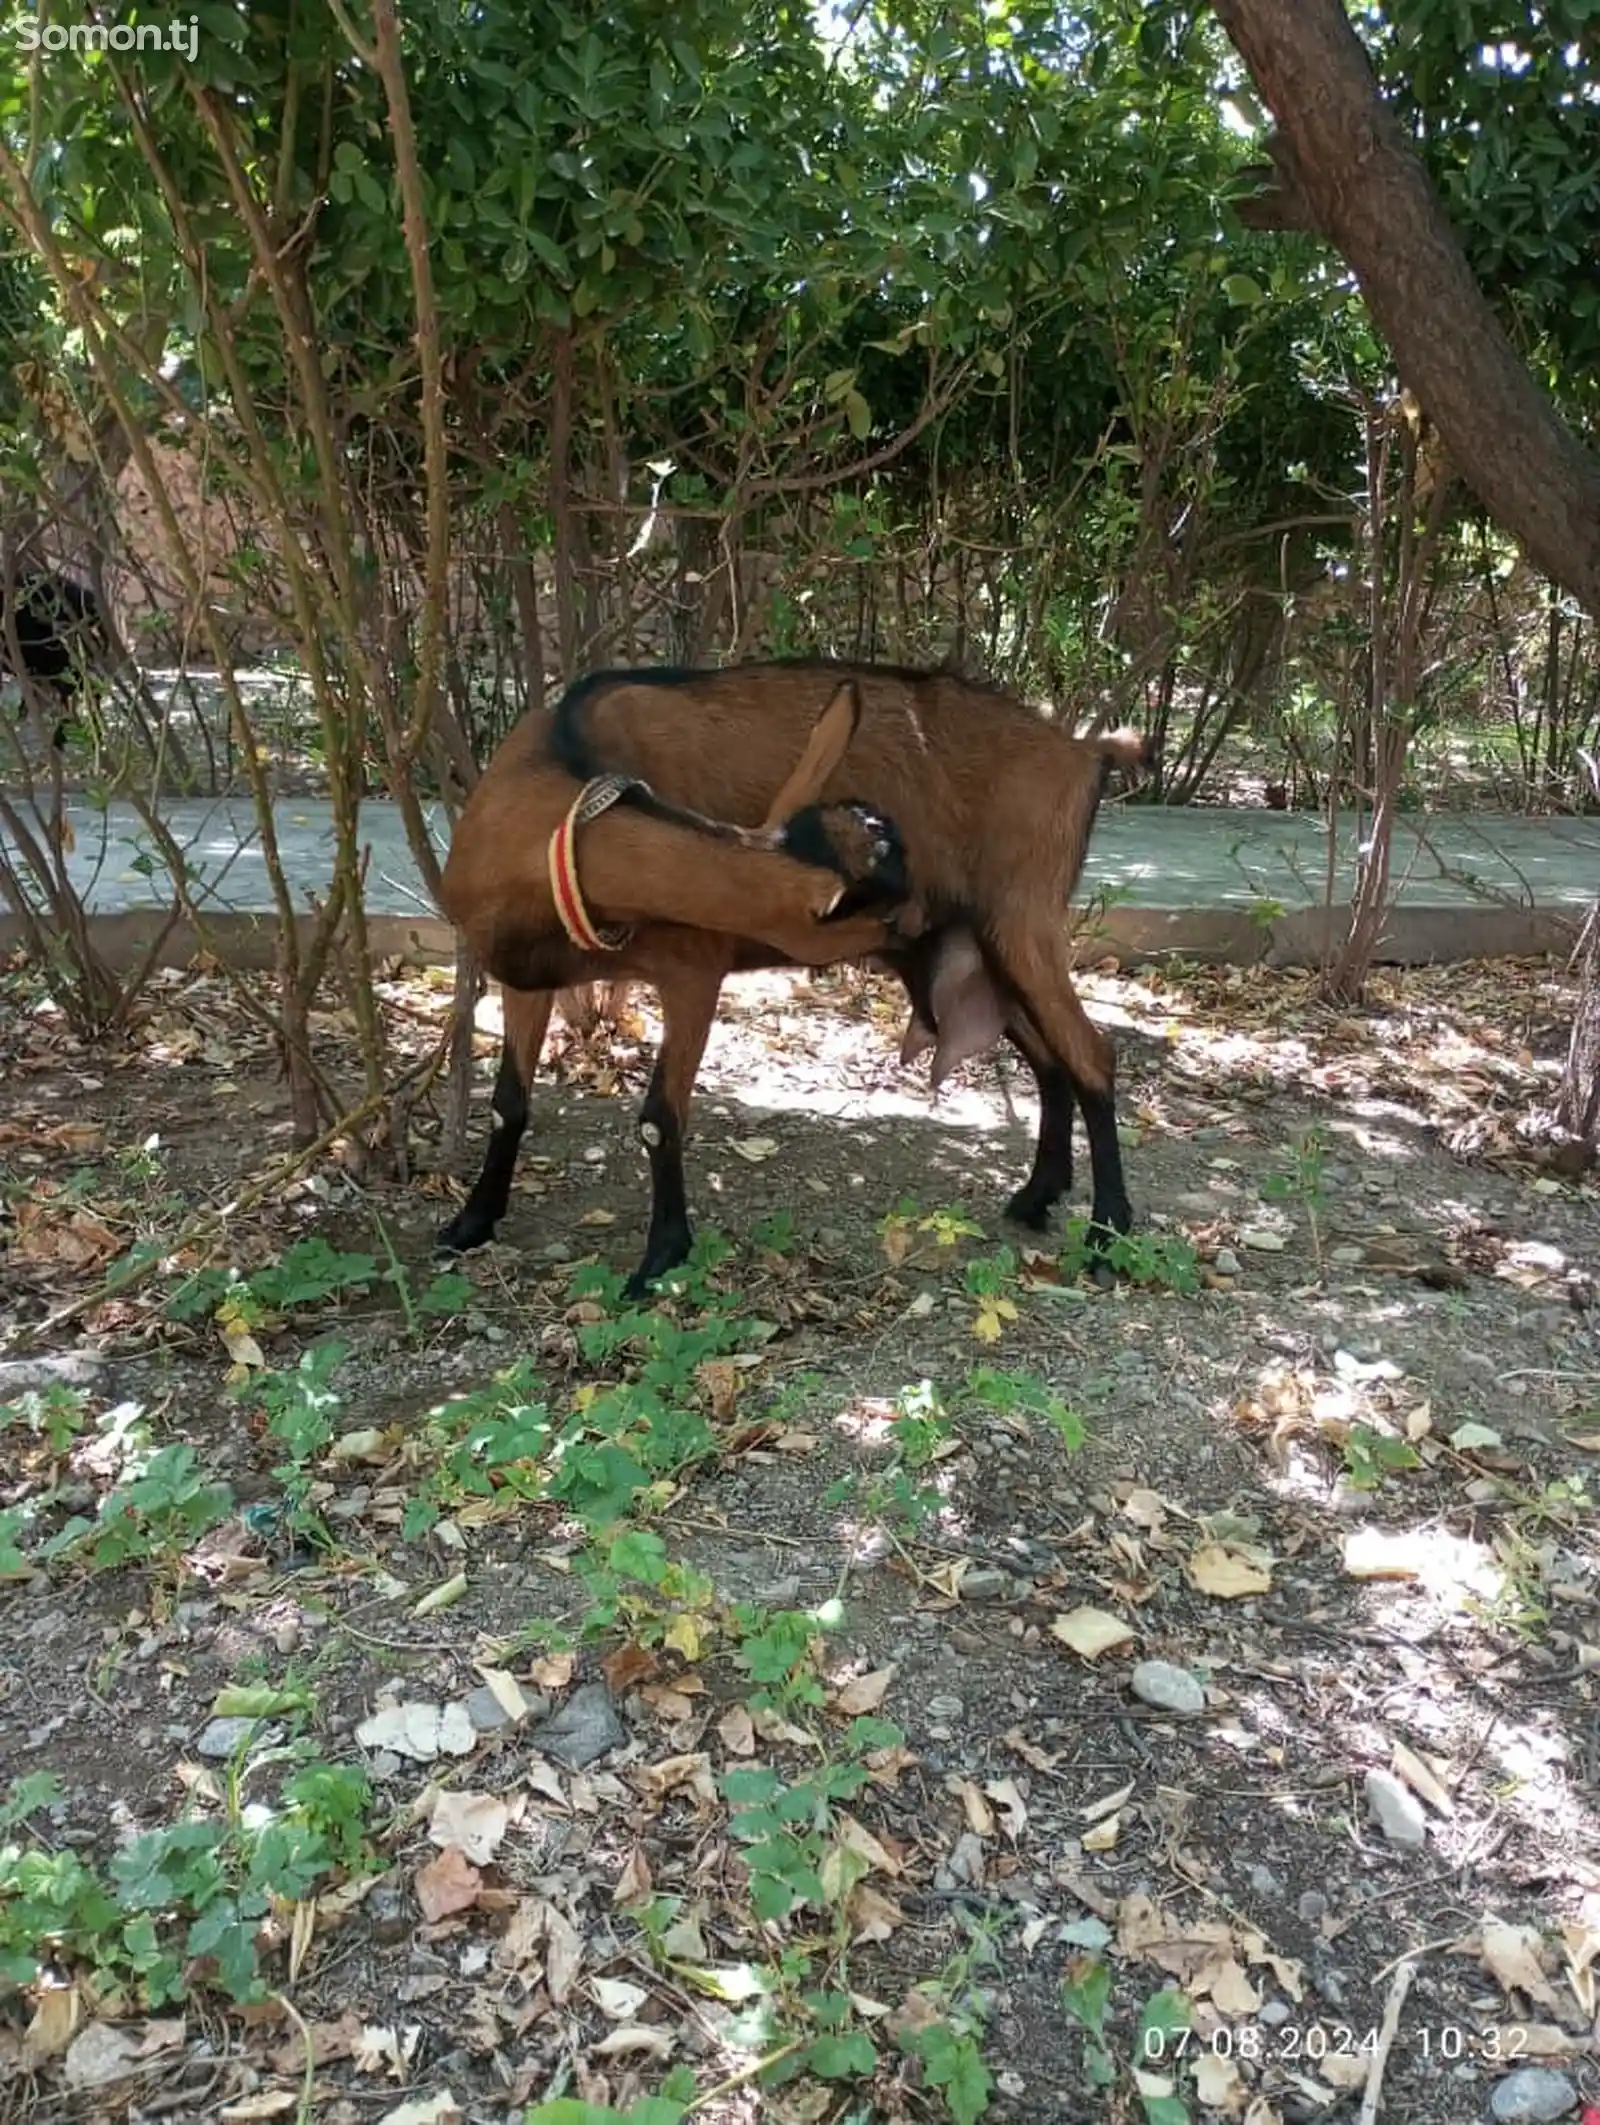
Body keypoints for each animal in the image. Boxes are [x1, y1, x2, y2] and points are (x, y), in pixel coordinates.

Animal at [439, 663, 1147, 1283]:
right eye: (885, 899)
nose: (923, 918)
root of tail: (1084, 752)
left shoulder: (693, 965)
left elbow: (659, 1118)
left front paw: (662, 1258)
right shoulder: (526, 977)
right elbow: (507, 1105)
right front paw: (471, 1221)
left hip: (1025, 918)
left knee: (1091, 1055)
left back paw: (1107, 1235)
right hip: (989, 948)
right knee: (1050, 1059)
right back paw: (1037, 1196)